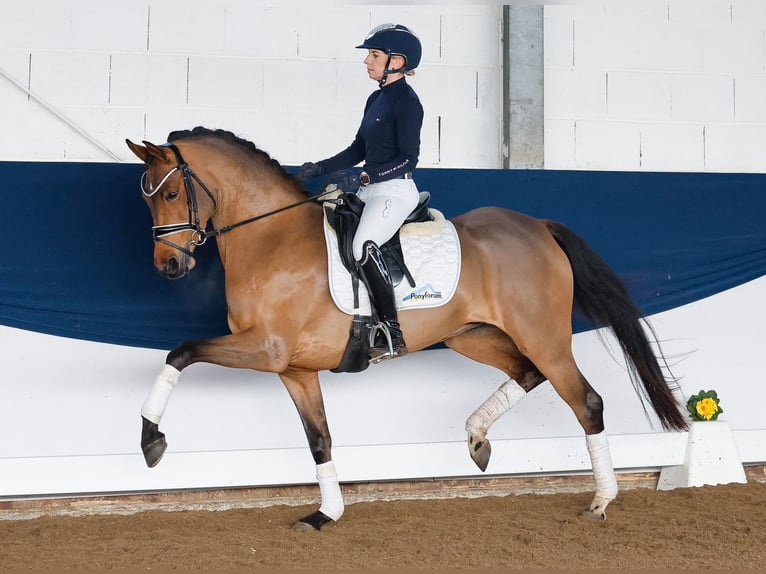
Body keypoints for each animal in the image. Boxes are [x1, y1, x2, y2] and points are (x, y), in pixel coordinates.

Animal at [126, 128, 688, 532]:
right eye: (147, 200)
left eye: (172, 192)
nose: (168, 267)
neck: (270, 238)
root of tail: (537, 226)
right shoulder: (294, 369)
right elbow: (320, 440)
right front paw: (326, 514)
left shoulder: (266, 349)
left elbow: (181, 352)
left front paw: (151, 440)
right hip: (473, 335)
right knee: (528, 375)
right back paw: (477, 438)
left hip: (543, 337)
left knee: (584, 400)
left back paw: (600, 501)